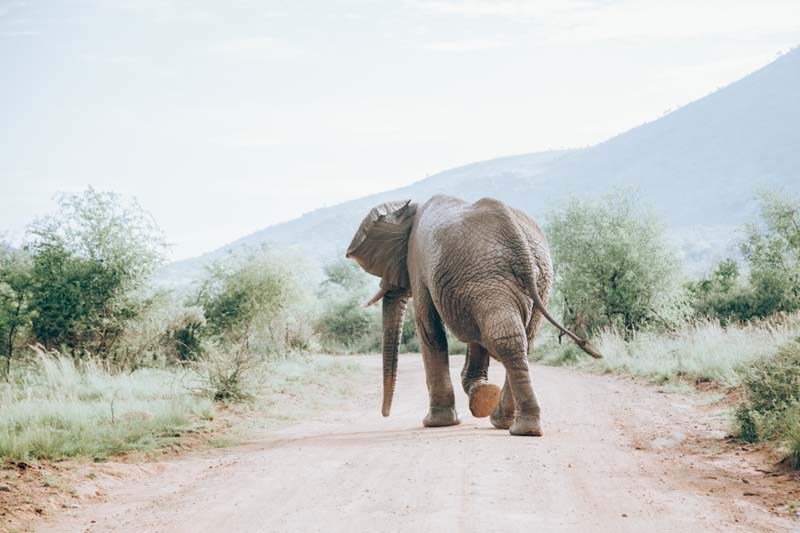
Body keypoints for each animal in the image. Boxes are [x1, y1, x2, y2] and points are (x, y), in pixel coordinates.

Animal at [344, 193, 600, 434]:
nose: (384, 414)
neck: (410, 209)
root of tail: (515, 233)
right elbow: (474, 336)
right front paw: (480, 395)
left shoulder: (417, 263)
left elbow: (429, 329)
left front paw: (436, 423)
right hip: (529, 280)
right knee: (519, 340)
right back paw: (509, 423)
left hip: (489, 276)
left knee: (505, 339)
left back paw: (519, 428)